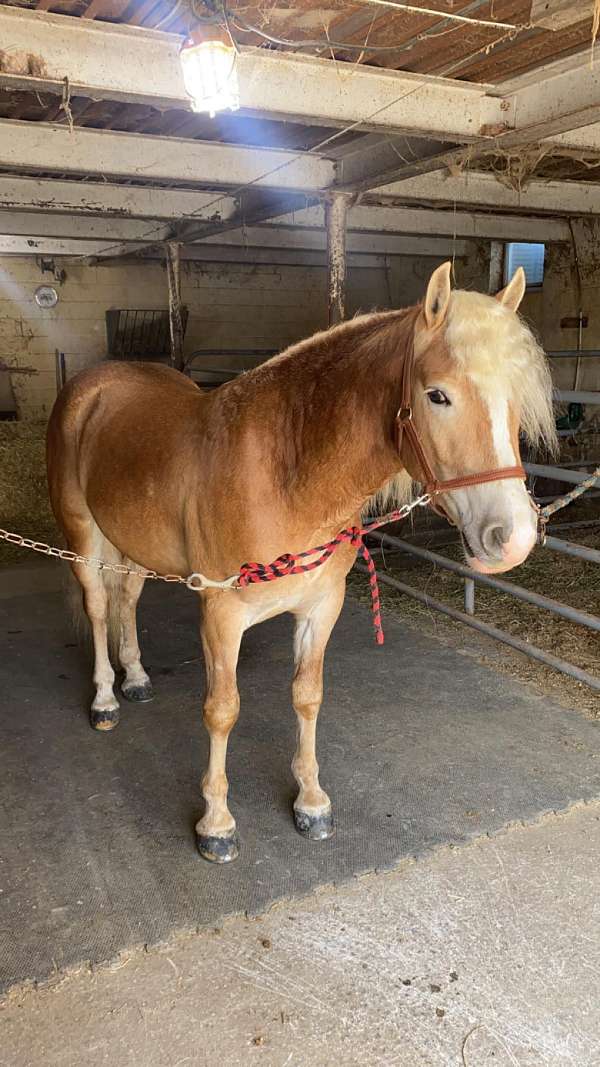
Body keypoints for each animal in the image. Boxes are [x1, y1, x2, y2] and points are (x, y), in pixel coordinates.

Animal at [46, 262, 555, 862]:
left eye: (516, 398)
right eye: (437, 395)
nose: (513, 537)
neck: (282, 474)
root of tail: (94, 384)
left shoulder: (320, 606)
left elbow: (307, 697)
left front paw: (311, 802)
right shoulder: (221, 616)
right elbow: (222, 710)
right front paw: (216, 823)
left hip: (130, 544)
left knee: (126, 600)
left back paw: (138, 678)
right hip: (84, 537)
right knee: (100, 607)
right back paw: (105, 699)